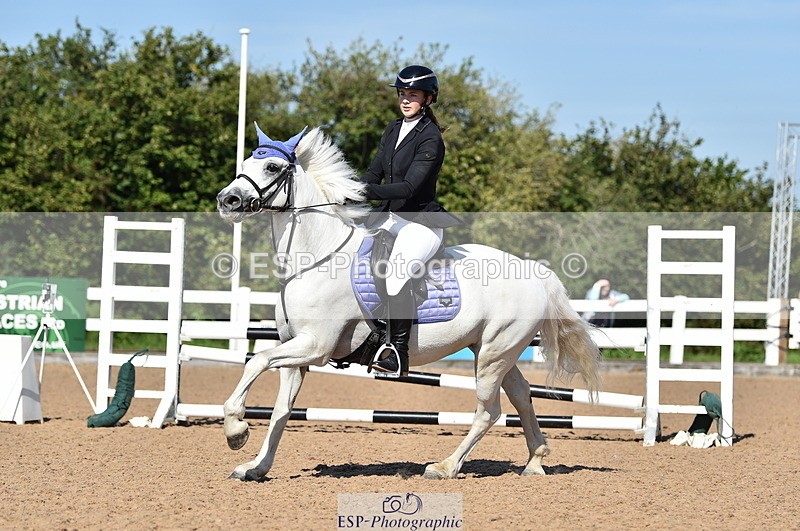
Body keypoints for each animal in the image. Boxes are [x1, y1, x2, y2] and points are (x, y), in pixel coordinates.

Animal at [216, 124, 601, 481]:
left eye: (272, 167)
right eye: (245, 163)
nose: (227, 201)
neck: (316, 258)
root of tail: (535, 272)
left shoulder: (315, 346)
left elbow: (256, 362)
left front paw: (236, 431)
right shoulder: (296, 353)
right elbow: (280, 411)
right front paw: (255, 467)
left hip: (495, 352)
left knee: (489, 410)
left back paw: (445, 466)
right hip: (490, 348)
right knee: (521, 393)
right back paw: (535, 461)